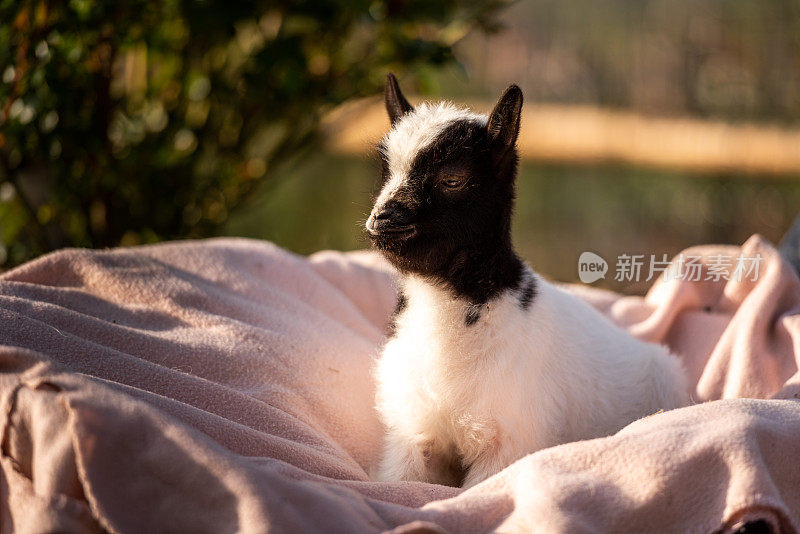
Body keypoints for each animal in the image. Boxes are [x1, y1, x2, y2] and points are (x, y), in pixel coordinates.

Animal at [368, 74, 688, 490]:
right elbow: (399, 482)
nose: (381, 220)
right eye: (387, 172)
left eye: (452, 179)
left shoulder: (506, 443)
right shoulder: (411, 433)